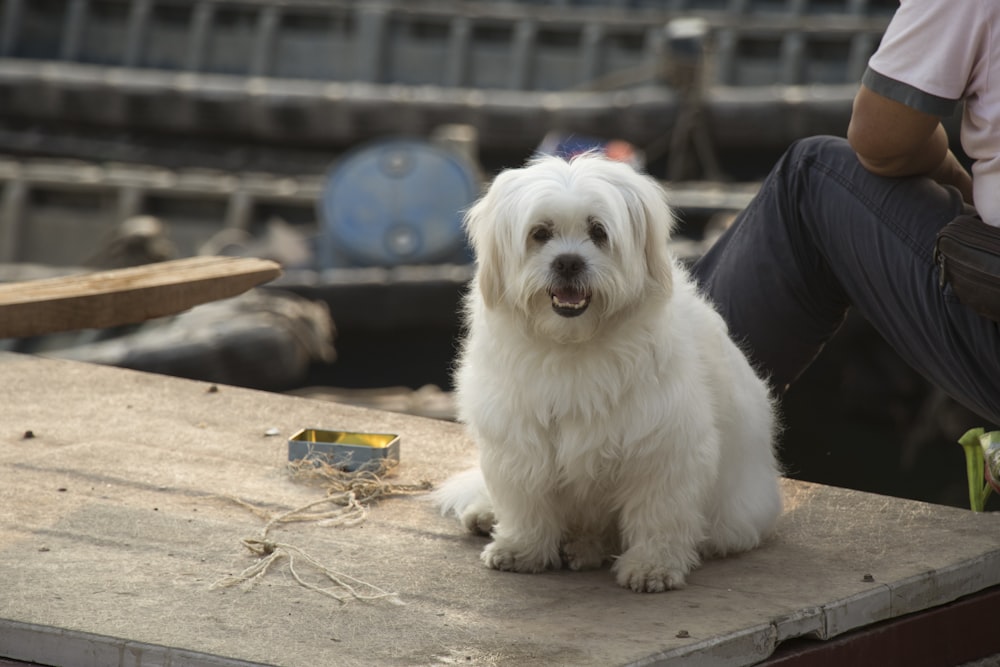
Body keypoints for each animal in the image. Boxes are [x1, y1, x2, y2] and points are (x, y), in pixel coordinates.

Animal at [434, 154, 784, 592]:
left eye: (598, 232)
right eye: (540, 233)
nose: (568, 262)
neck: (574, 344)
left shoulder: (663, 442)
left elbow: (660, 512)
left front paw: (653, 565)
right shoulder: (521, 437)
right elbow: (527, 500)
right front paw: (522, 548)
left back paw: (587, 547)